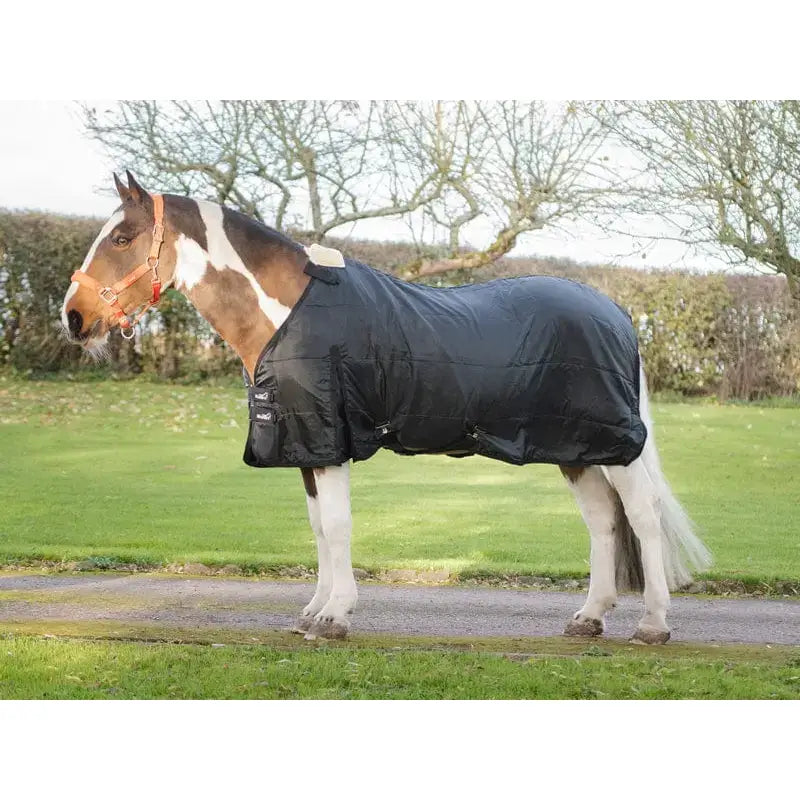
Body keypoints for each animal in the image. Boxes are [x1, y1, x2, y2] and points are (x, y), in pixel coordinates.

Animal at [61, 171, 712, 644]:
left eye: (121, 238)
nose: (74, 317)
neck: (290, 311)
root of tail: (617, 313)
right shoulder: (307, 445)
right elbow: (318, 528)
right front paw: (312, 612)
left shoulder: (332, 441)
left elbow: (338, 526)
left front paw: (335, 617)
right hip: (575, 448)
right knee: (603, 522)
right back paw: (588, 618)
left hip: (615, 447)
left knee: (643, 518)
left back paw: (652, 625)